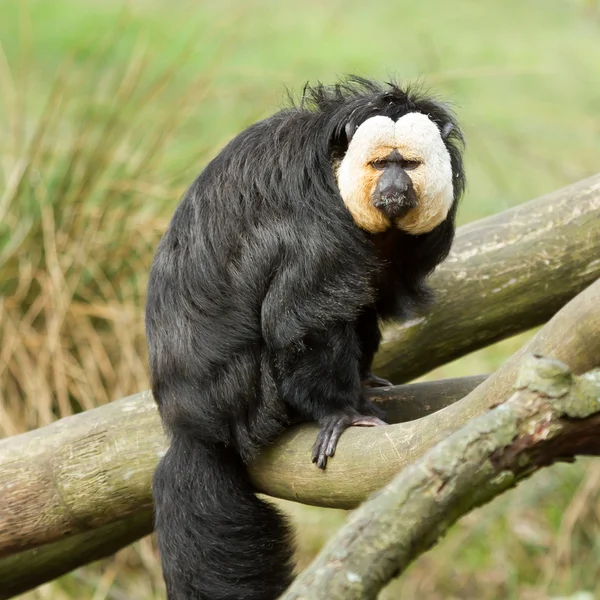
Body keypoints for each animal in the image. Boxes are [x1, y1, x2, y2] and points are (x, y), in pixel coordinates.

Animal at [145, 76, 464, 600]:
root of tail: (192, 426)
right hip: (254, 397)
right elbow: (303, 323)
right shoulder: (313, 228)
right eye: (381, 164)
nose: (395, 188)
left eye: (410, 165)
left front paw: (362, 385)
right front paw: (339, 413)